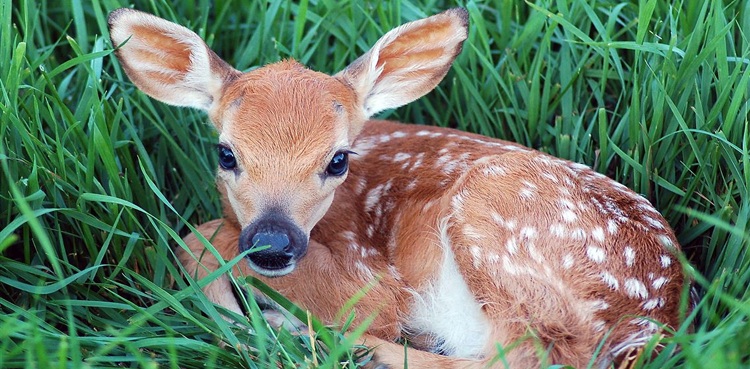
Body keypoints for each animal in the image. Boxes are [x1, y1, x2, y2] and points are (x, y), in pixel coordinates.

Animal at [108, 6, 692, 368]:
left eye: (338, 159)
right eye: (226, 153)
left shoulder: (370, 276)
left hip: (496, 214)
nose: (272, 244)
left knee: (533, 355)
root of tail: (658, 320)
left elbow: (201, 237)